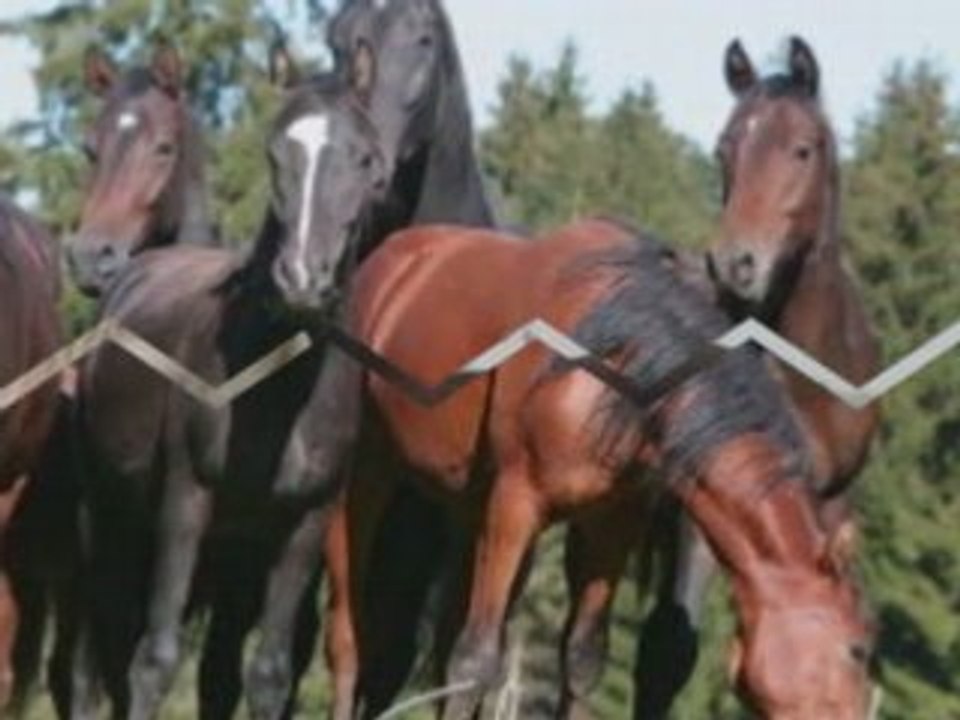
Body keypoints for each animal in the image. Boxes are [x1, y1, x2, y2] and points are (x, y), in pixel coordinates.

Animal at [69, 49, 387, 720]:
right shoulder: (185, 507)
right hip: (106, 513)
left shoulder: (302, 527)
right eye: (274, 152)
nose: (301, 278)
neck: (279, 380)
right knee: (93, 656)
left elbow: (265, 674)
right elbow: (154, 662)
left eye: (366, 158)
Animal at [335, 217, 874, 720]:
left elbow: (581, 659)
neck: (618, 372)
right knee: (348, 631)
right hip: (368, 470)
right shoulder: (515, 505)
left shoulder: (611, 526)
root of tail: (396, 253)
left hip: (467, 506)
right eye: (857, 650)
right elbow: (475, 660)